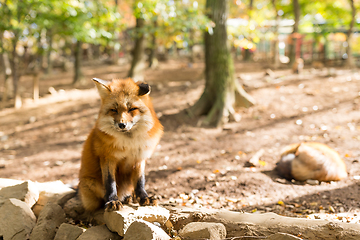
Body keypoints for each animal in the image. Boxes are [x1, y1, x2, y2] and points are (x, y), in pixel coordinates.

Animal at [79, 78, 164, 211]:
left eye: (132, 109)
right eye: (114, 110)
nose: (122, 125)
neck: (129, 144)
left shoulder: (139, 158)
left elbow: (140, 182)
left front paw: (144, 197)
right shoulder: (107, 158)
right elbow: (110, 183)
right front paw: (112, 200)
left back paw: (131, 197)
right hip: (91, 184)